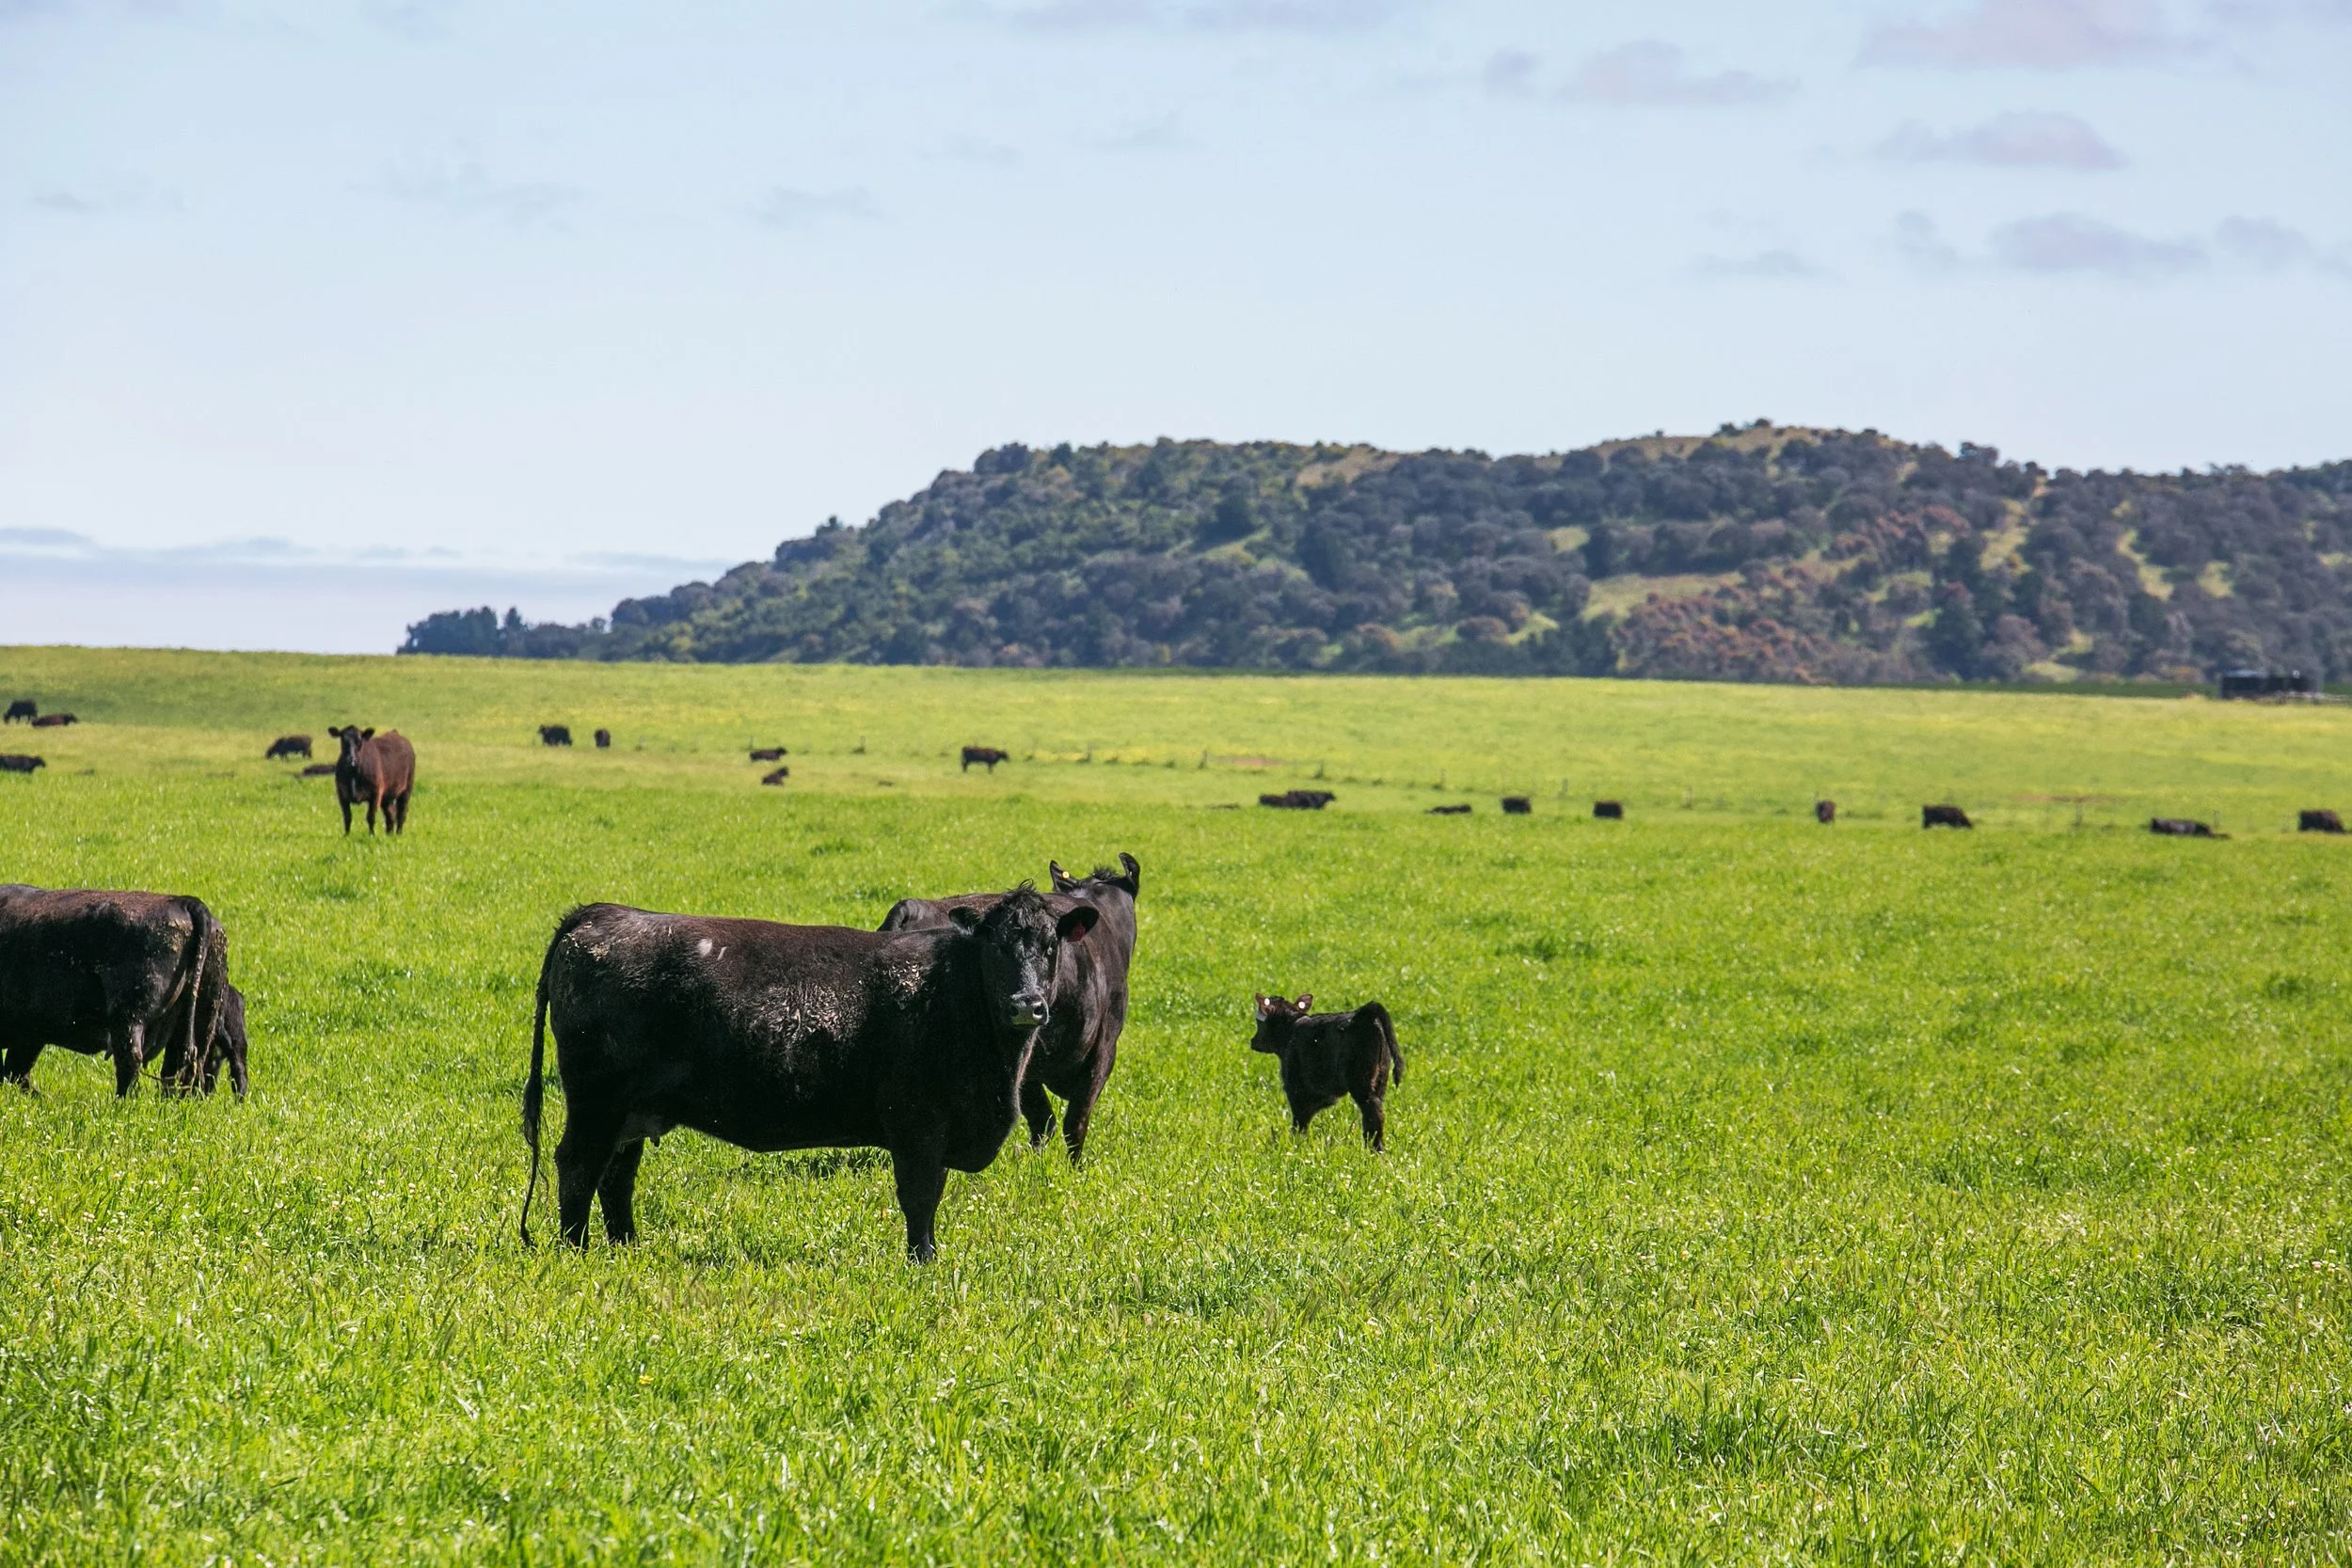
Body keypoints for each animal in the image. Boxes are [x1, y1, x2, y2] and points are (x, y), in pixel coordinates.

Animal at [0, 886, 242, 1098]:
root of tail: (186, 902)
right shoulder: (29, 1036)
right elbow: (15, 1070)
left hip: (129, 1017)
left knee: (131, 1060)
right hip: (202, 1015)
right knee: (187, 1064)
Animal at [520, 885, 1100, 1261]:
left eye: (1051, 947)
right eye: (997, 946)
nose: (1028, 1004)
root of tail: (599, 914)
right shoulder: (917, 1128)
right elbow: (919, 1197)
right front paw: (923, 1263)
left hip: (632, 1111)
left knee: (617, 1177)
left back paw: (627, 1249)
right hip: (597, 1102)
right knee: (578, 1167)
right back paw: (576, 1252)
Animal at [877, 853, 1141, 1163]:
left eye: (1051, 945)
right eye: (996, 948)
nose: (1027, 1007)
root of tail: (913, 907)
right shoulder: (1104, 1048)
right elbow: (1070, 1122)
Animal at [1249, 994, 1403, 1152]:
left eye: (1258, 1022)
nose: (1252, 1041)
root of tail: (1363, 1013)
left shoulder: (1296, 1091)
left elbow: (1300, 1121)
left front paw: (1296, 1144)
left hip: (1361, 1083)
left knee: (1373, 1112)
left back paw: (1374, 1149)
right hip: (1380, 1080)